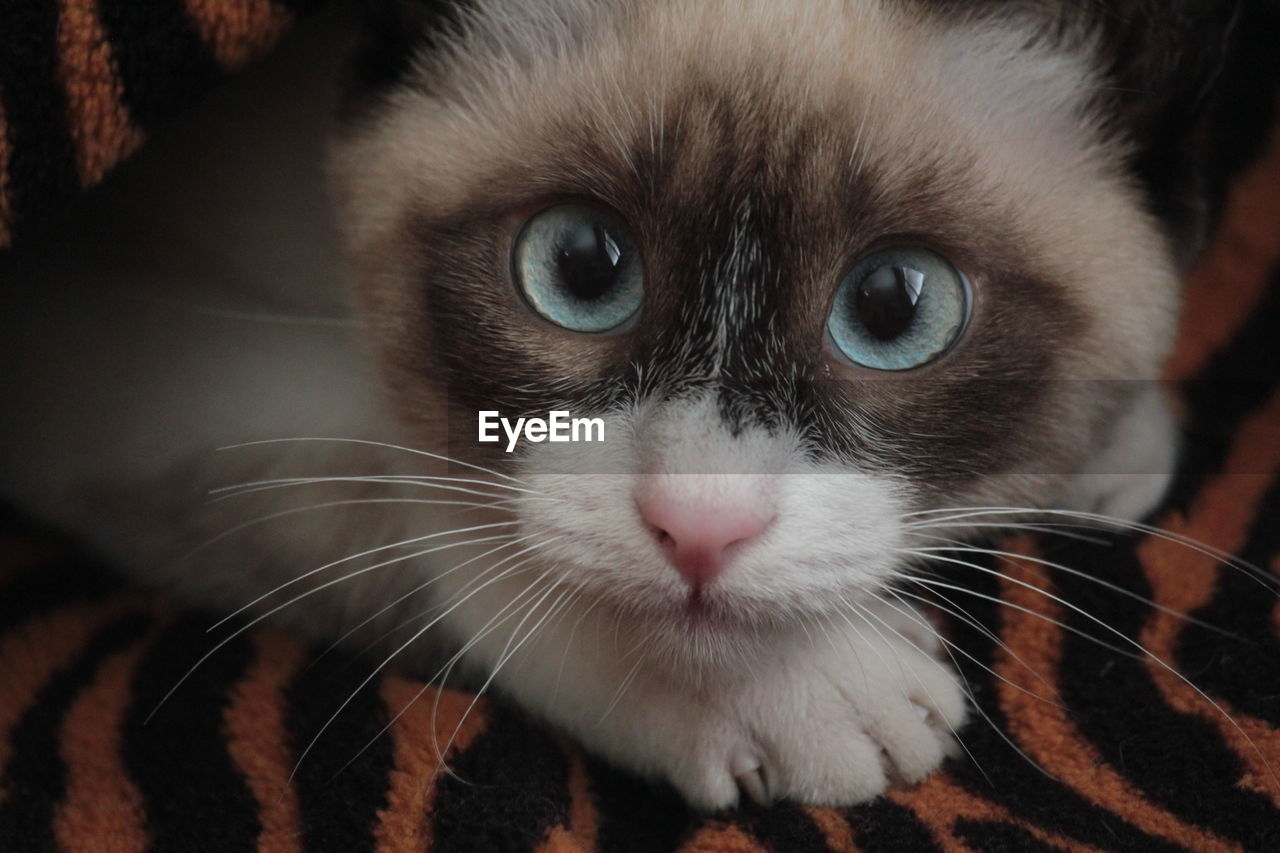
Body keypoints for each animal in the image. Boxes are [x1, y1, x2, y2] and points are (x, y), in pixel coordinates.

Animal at [0, 0, 1249, 809]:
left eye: (893, 308)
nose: (699, 528)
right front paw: (811, 692)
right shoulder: (98, 344)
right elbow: (402, 482)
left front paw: (1109, 444)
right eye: (582, 270)